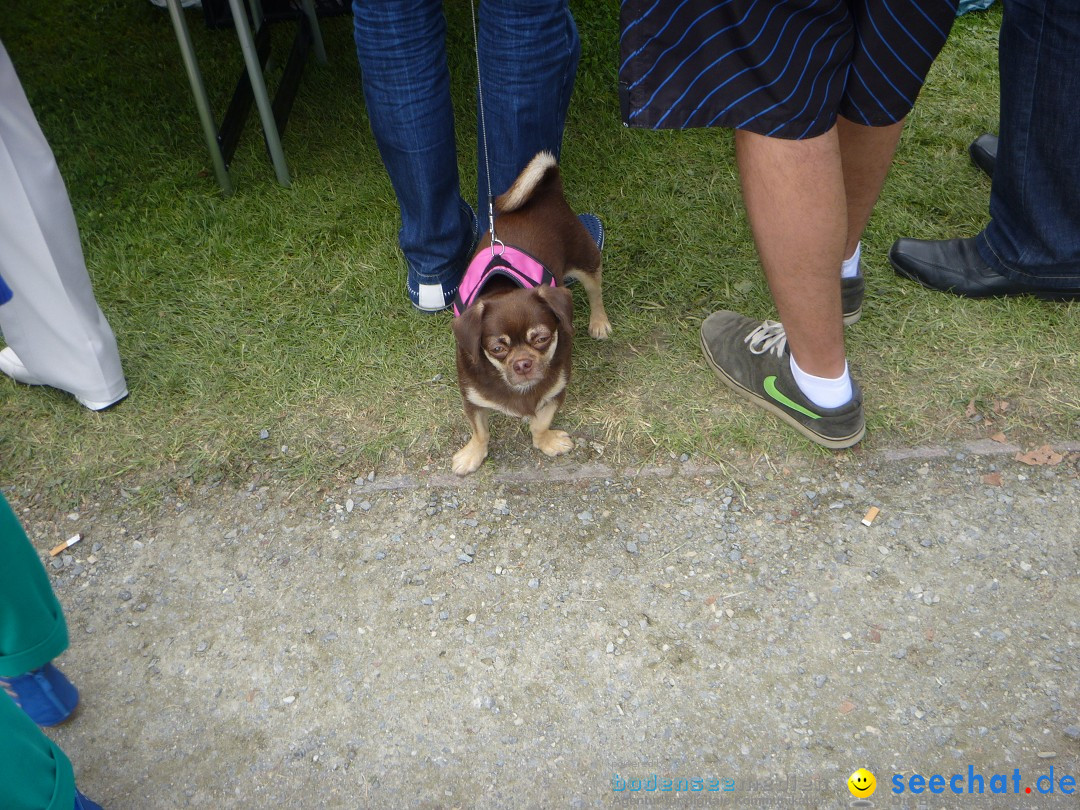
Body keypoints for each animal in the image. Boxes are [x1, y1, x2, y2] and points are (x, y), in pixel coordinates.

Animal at [451, 153, 613, 475]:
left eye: (541, 338)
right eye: (497, 348)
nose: (523, 363)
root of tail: (546, 192)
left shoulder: (556, 391)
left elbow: (540, 423)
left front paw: (548, 442)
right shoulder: (472, 401)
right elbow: (480, 432)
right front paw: (473, 455)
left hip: (585, 258)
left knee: (595, 290)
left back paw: (599, 322)